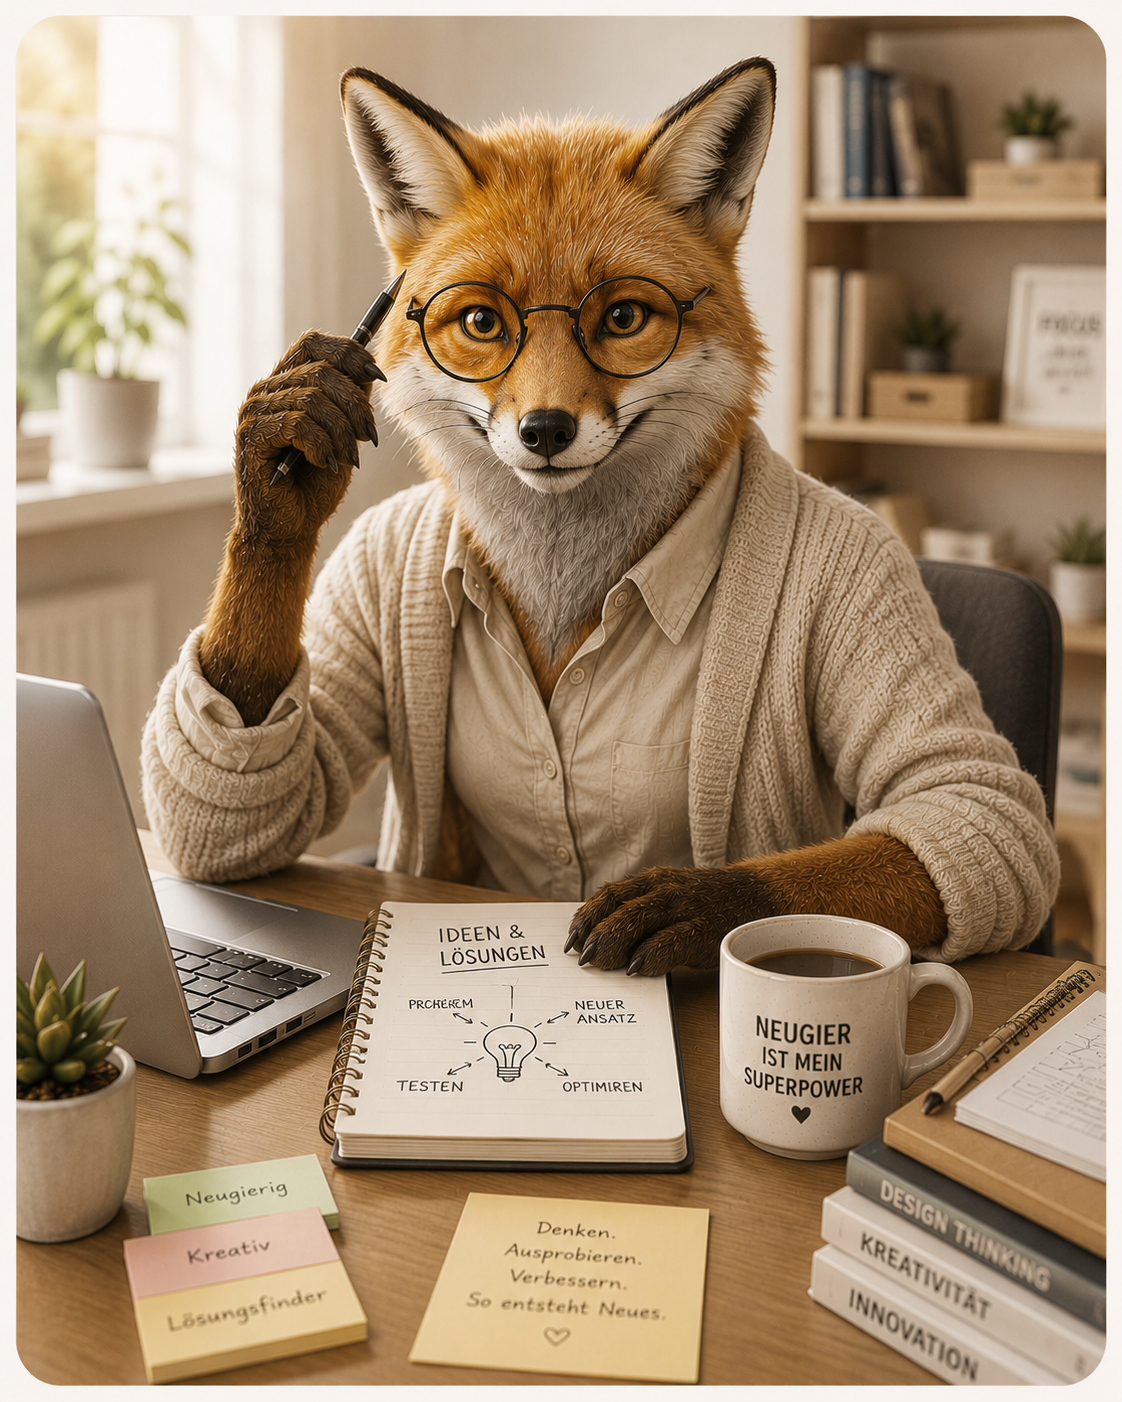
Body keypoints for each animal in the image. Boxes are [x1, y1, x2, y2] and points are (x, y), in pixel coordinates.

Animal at [179, 59, 1052, 976]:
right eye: (482, 322)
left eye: (623, 317)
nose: (545, 431)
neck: (565, 585)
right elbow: (269, 803)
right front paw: (284, 453)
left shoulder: (964, 780)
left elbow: (964, 802)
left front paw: (706, 904)